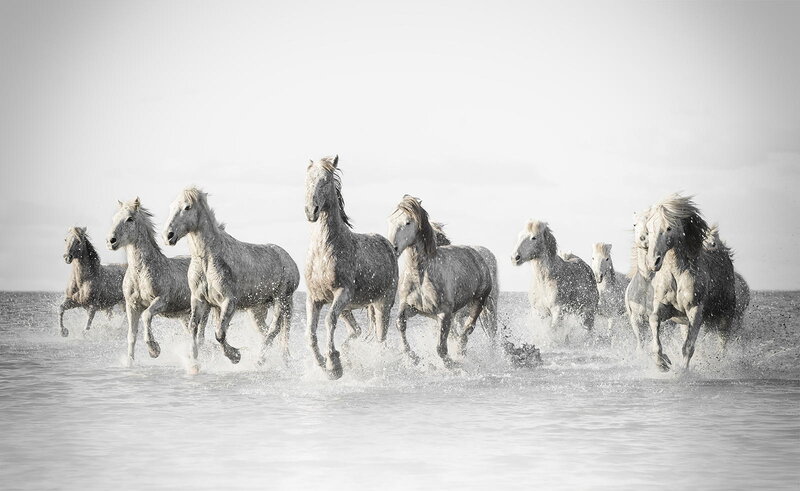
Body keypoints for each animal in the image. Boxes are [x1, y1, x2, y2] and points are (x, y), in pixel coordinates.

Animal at [107, 198, 204, 365]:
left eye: (130, 219)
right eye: (114, 218)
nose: (111, 241)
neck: (140, 274)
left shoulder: (161, 300)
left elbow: (146, 316)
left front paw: (154, 349)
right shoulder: (132, 305)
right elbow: (131, 335)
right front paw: (130, 362)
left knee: (201, 335)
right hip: (185, 316)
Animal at [163, 187, 300, 372]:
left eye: (187, 207)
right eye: (171, 206)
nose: (168, 236)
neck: (208, 260)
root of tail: (290, 260)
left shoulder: (229, 302)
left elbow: (220, 333)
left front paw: (235, 356)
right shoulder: (199, 300)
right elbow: (194, 328)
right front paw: (194, 363)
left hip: (282, 300)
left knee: (274, 330)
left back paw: (260, 361)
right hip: (257, 310)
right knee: (267, 333)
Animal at [305, 155, 398, 379]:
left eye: (325, 180)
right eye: (308, 179)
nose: (311, 211)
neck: (324, 250)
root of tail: (388, 245)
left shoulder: (342, 292)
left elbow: (329, 321)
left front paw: (333, 366)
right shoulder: (314, 298)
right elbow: (310, 332)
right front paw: (323, 363)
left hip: (382, 304)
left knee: (380, 338)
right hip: (348, 308)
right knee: (356, 331)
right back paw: (347, 356)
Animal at [388, 195, 493, 366]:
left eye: (408, 222)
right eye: (390, 220)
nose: (393, 248)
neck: (420, 275)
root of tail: (477, 254)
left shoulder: (444, 314)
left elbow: (441, 349)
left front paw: (451, 364)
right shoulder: (412, 308)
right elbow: (400, 323)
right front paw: (413, 357)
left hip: (479, 300)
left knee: (468, 327)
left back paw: (461, 349)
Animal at [643, 193, 737, 371]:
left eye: (669, 228)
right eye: (649, 228)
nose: (653, 262)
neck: (677, 274)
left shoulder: (695, 310)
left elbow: (688, 347)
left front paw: (682, 371)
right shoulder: (667, 308)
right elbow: (654, 319)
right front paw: (662, 363)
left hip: (725, 315)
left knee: (723, 341)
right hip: (684, 323)